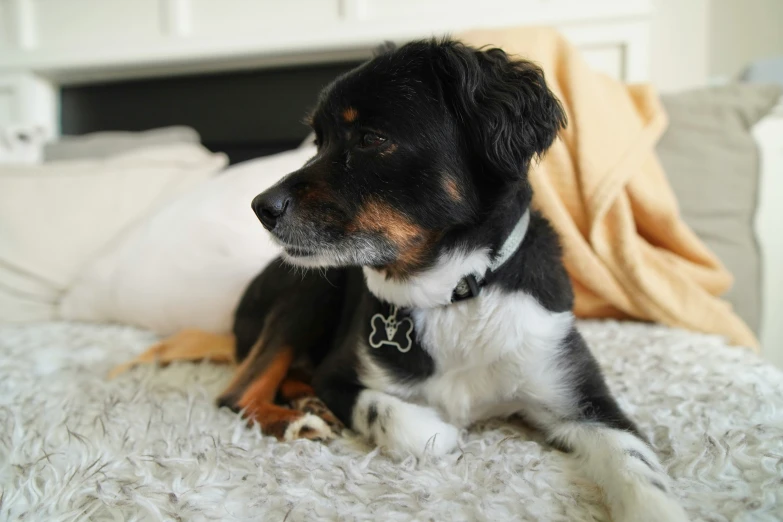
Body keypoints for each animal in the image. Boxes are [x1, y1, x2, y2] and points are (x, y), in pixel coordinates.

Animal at [132, 38, 688, 516]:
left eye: (371, 138)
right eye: (318, 141)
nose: (260, 207)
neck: (453, 293)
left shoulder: (578, 395)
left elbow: (636, 463)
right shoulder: (341, 372)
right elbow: (414, 426)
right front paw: (433, 425)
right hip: (311, 289)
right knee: (238, 391)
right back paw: (297, 417)